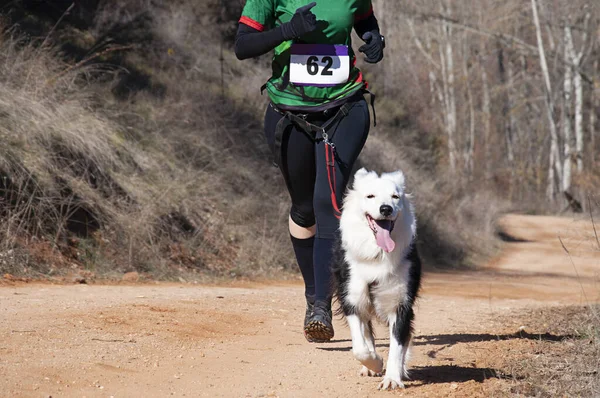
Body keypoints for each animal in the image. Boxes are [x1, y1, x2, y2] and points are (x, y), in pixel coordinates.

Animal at [332, 166, 422, 390]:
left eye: (395, 197)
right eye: (370, 196)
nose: (386, 209)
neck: (377, 254)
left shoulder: (401, 303)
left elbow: (397, 344)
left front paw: (392, 378)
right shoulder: (351, 297)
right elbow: (359, 347)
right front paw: (375, 362)